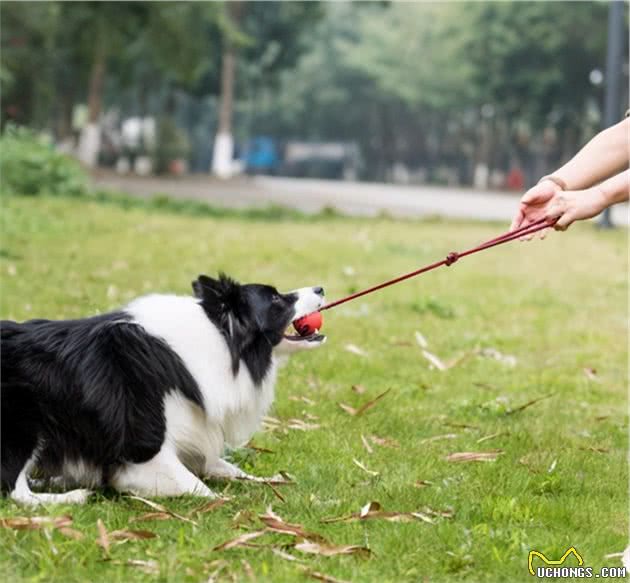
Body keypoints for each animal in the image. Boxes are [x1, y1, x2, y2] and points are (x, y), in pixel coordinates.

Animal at [3, 274, 330, 506]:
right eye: (275, 298)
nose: (321, 289)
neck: (219, 339)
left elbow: (229, 469)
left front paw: (274, 480)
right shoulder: (144, 453)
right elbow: (199, 487)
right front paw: (231, 502)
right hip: (26, 421)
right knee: (13, 490)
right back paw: (70, 497)